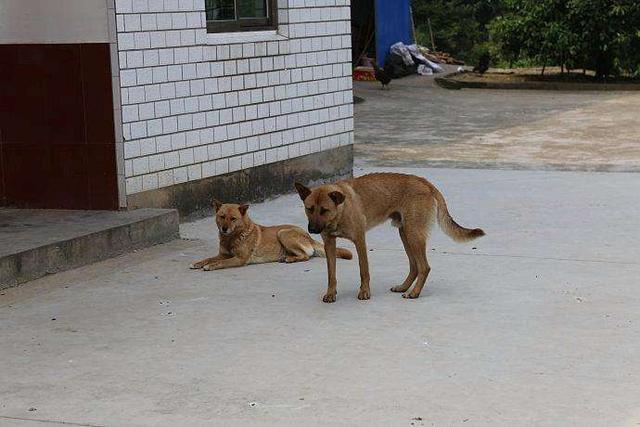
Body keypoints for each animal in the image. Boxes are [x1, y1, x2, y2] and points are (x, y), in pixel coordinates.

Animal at [191, 201, 350, 270]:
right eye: (222, 217)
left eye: (233, 219)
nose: (224, 229)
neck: (232, 237)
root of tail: (309, 236)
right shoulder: (223, 254)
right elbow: (209, 258)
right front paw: (199, 263)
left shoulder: (239, 259)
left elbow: (221, 263)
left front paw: (210, 266)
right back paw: (287, 257)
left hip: (283, 233)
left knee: (306, 255)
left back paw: (289, 259)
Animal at [296, 174, 484, 304]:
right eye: (309, 208)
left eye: (324, 210)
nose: (312, 230)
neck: (340, 211)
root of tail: (424, 182)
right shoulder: (329, 244)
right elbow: (331, 274)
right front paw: (330, 294)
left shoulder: (359, 241)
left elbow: (364, 270)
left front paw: (365, 292)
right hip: (405, 234)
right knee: (415, 266)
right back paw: (404, 287)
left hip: (413, 234)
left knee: (424, 267)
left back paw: (414, 293)